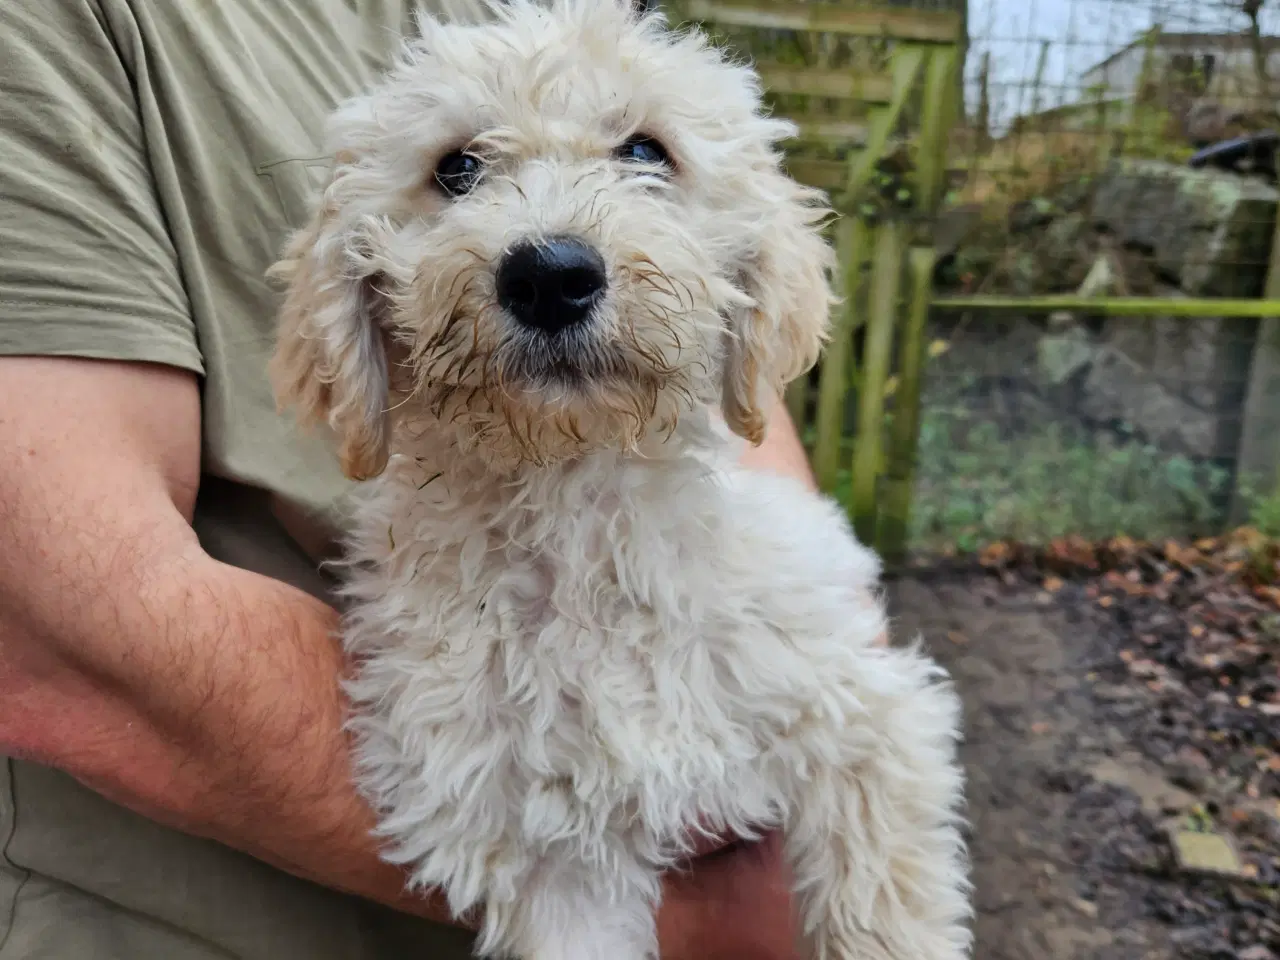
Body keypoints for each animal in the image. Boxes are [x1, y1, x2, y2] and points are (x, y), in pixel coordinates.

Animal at [270, 3, 967, 957]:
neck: (577, 510)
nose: (549, 274)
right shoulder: (549, 854)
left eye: (646, 151)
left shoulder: (864, 713)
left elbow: (885, 907)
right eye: (455, 168)